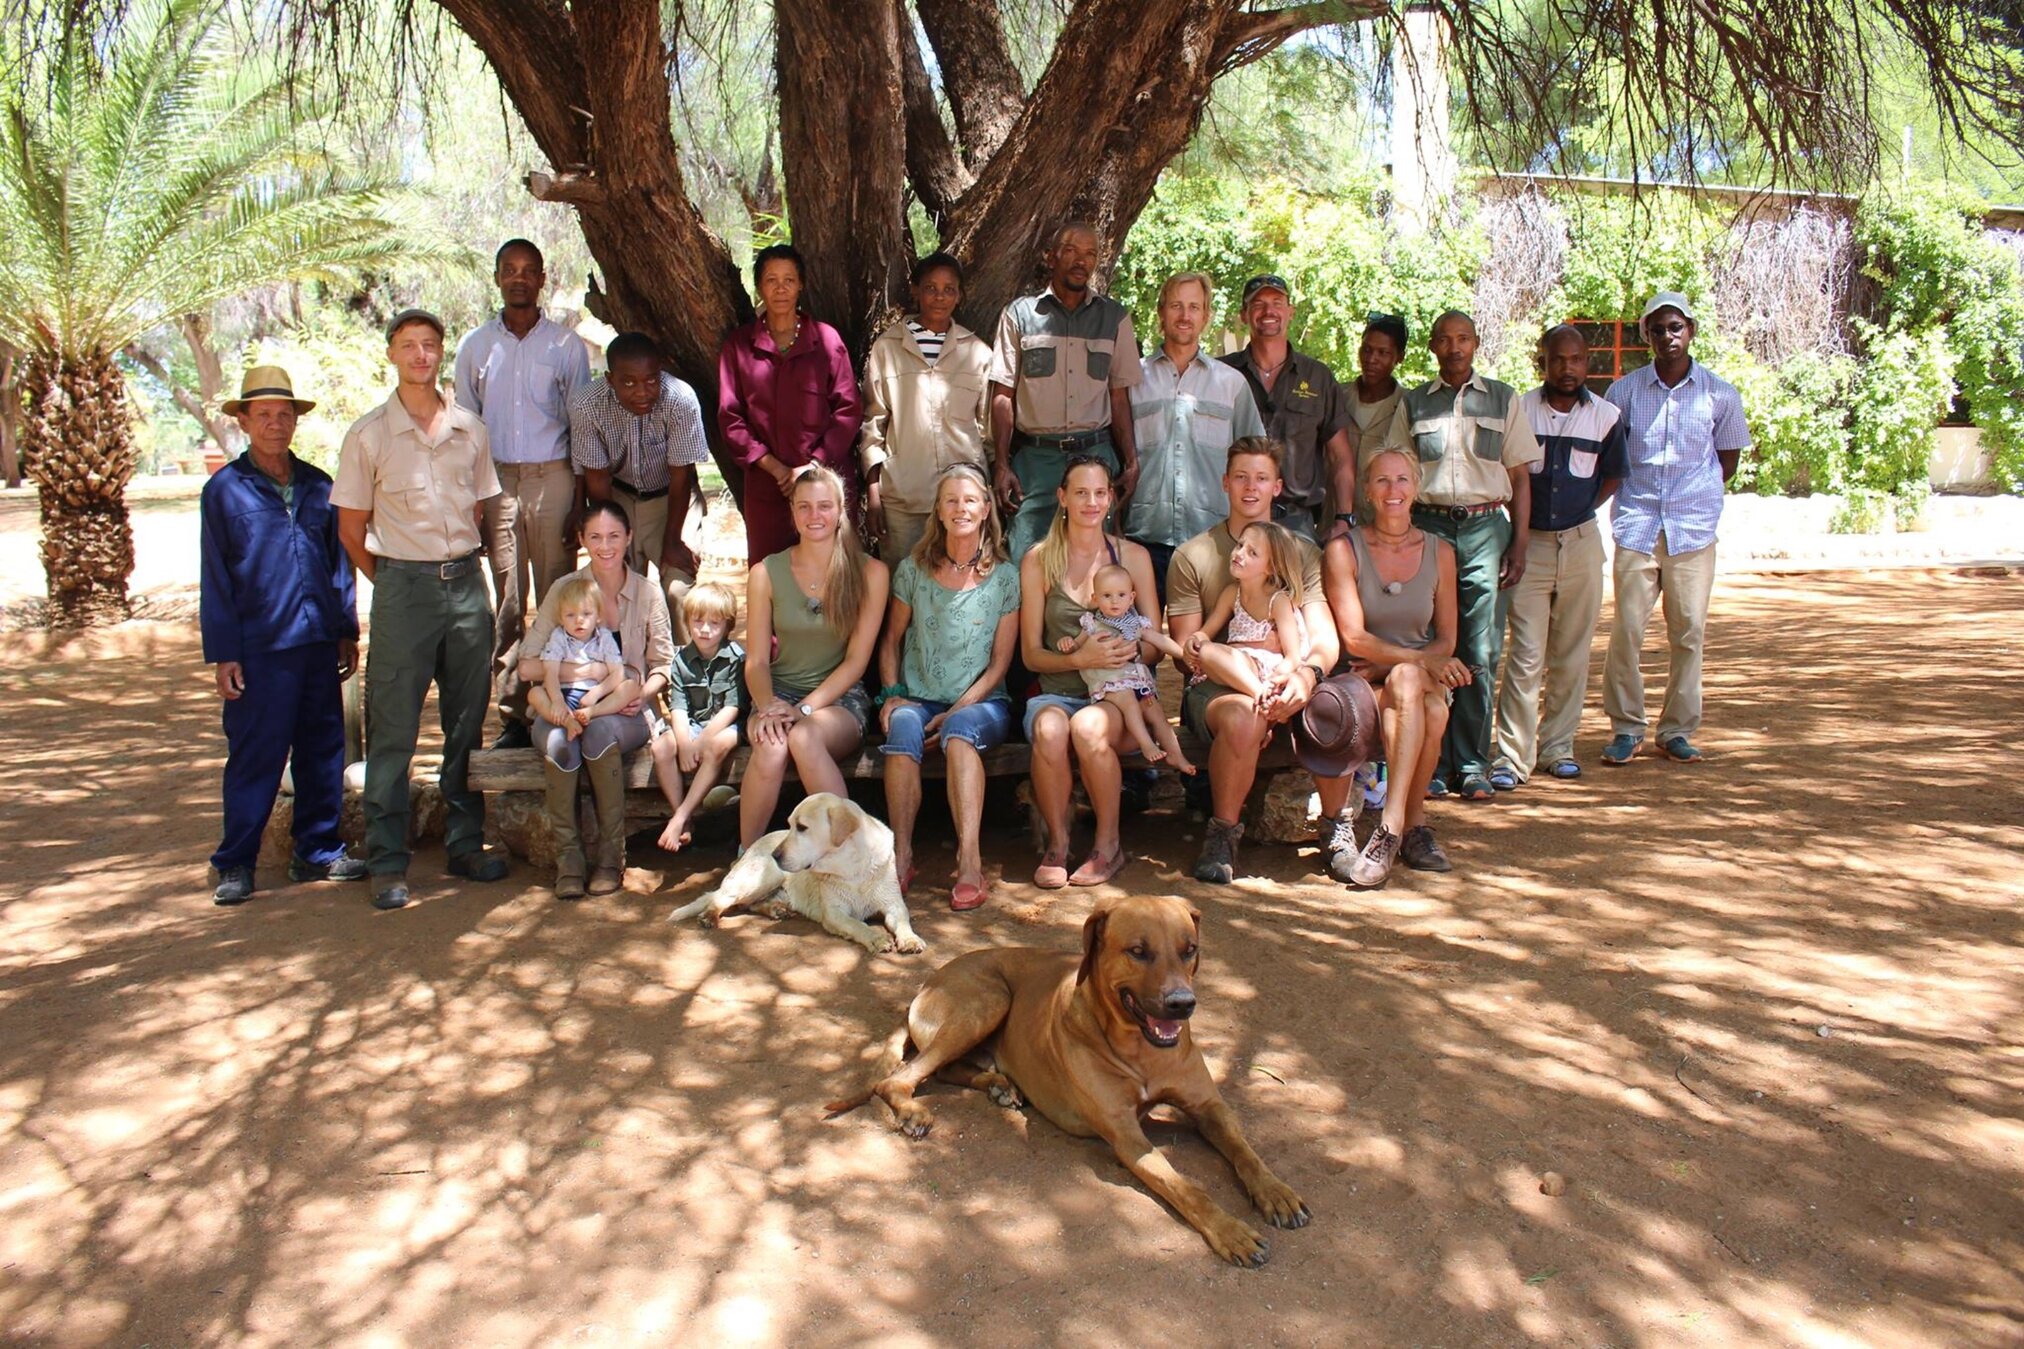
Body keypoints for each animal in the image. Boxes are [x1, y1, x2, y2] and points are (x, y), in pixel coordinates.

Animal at [667, 796, 926, 954]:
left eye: (802, 827)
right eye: (790, 825)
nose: (775, 854)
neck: (852, 868)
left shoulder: (894, 905)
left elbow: (903, 922)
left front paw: (910, 939)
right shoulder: (835, 914)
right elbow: (857, 925)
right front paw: (876, 938)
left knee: (750, 905)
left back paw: (776, 910)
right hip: (763, 876)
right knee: (721, 899)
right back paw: (709, 916)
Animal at [825, 897, 1311, 1270]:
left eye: (1189, 949)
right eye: (1138, 951)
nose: (1182, 1004)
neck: (1142, 1050)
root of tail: (927, 982)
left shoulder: (1209, 1107)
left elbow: (1245, 1151)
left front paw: (1277, 1193)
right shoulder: (1128, 1138)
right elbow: (1188, 1189)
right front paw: (1232, 1232)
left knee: (943, 1069)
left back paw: (1000, 1085)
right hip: (988, 999)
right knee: (899, 1079)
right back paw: (914, 1110)